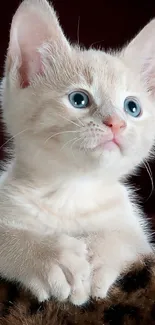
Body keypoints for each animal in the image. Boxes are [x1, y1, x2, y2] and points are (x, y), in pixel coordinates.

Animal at [0, 0, 154, 306]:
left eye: (132, 107)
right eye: (79, 99)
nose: (116, 123)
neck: (71, 192)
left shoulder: (140, 238)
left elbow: (127, 238)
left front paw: (98, 256)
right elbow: (6, 235)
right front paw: (47, 256)